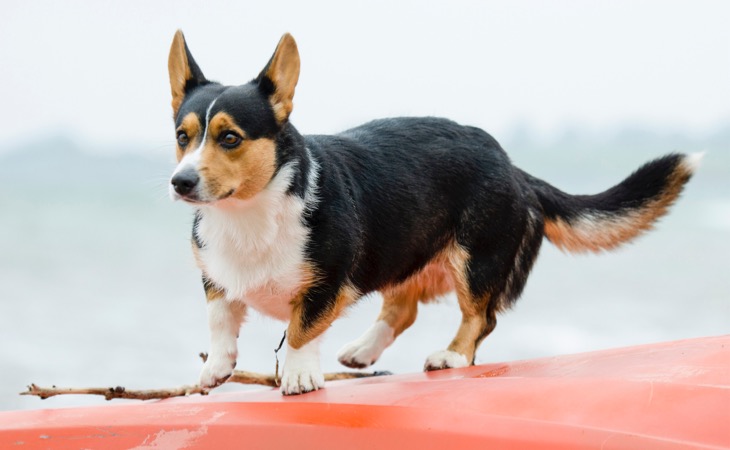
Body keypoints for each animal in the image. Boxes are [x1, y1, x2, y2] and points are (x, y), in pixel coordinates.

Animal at [166, 30, 700, 394]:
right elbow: (220, 319)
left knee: (480, 318)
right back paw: (361, 351)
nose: (180, 183)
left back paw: (451, 356)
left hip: (476, 260)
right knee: (402, 308)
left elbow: (300, 330)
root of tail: (514, 168)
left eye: (229, 138)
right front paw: (215, 367)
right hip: (401, 249)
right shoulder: (215, 276)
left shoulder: (326, 283)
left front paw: (298, 376)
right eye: (182, 136)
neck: (248, 212)